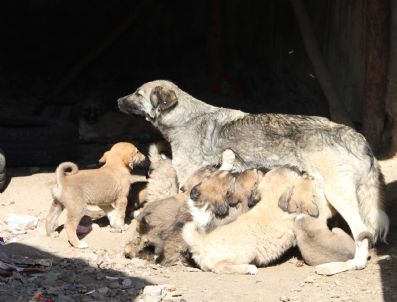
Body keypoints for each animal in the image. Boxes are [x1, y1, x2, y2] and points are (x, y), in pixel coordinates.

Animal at [117, 79, 386, 274]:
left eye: (138, 94)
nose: (117, 99)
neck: (185, 118)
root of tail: (351, 133)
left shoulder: (187, 181)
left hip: (338, 195)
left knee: (362, 231)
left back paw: (352, 264)